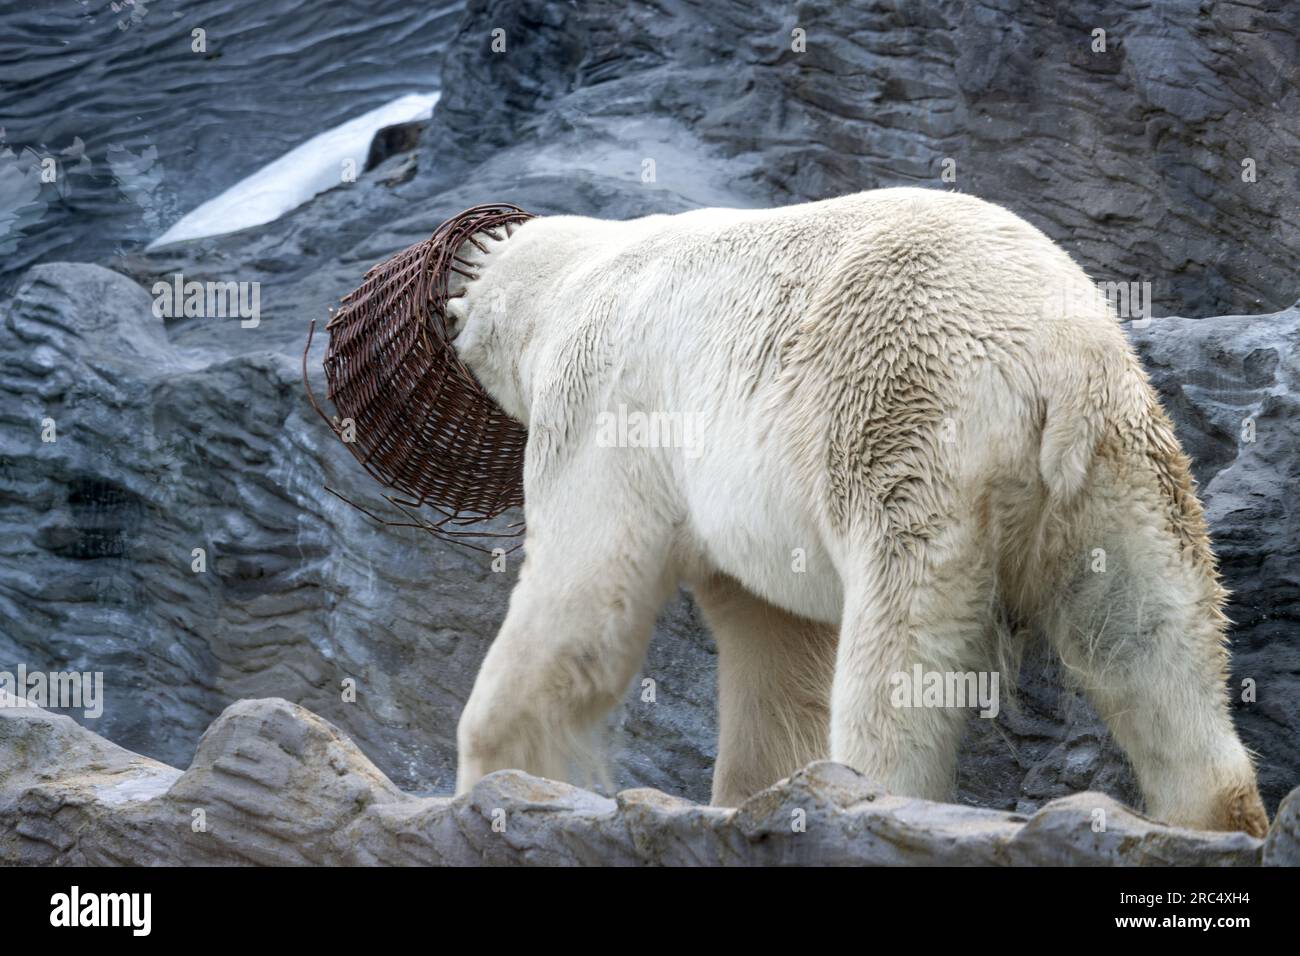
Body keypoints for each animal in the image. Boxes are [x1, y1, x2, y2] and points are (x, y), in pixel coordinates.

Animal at [447, 188, 1268, 837]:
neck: (581, 272)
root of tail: (1055, 355)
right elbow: (777, 640)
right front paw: (752, 795)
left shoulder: (602, 402)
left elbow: (581, 600)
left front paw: (490, 777)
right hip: (1121, 468)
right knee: (1146, 634)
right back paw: (1218, 811)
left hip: (906, 439)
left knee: (900, 659)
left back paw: (872, 796)